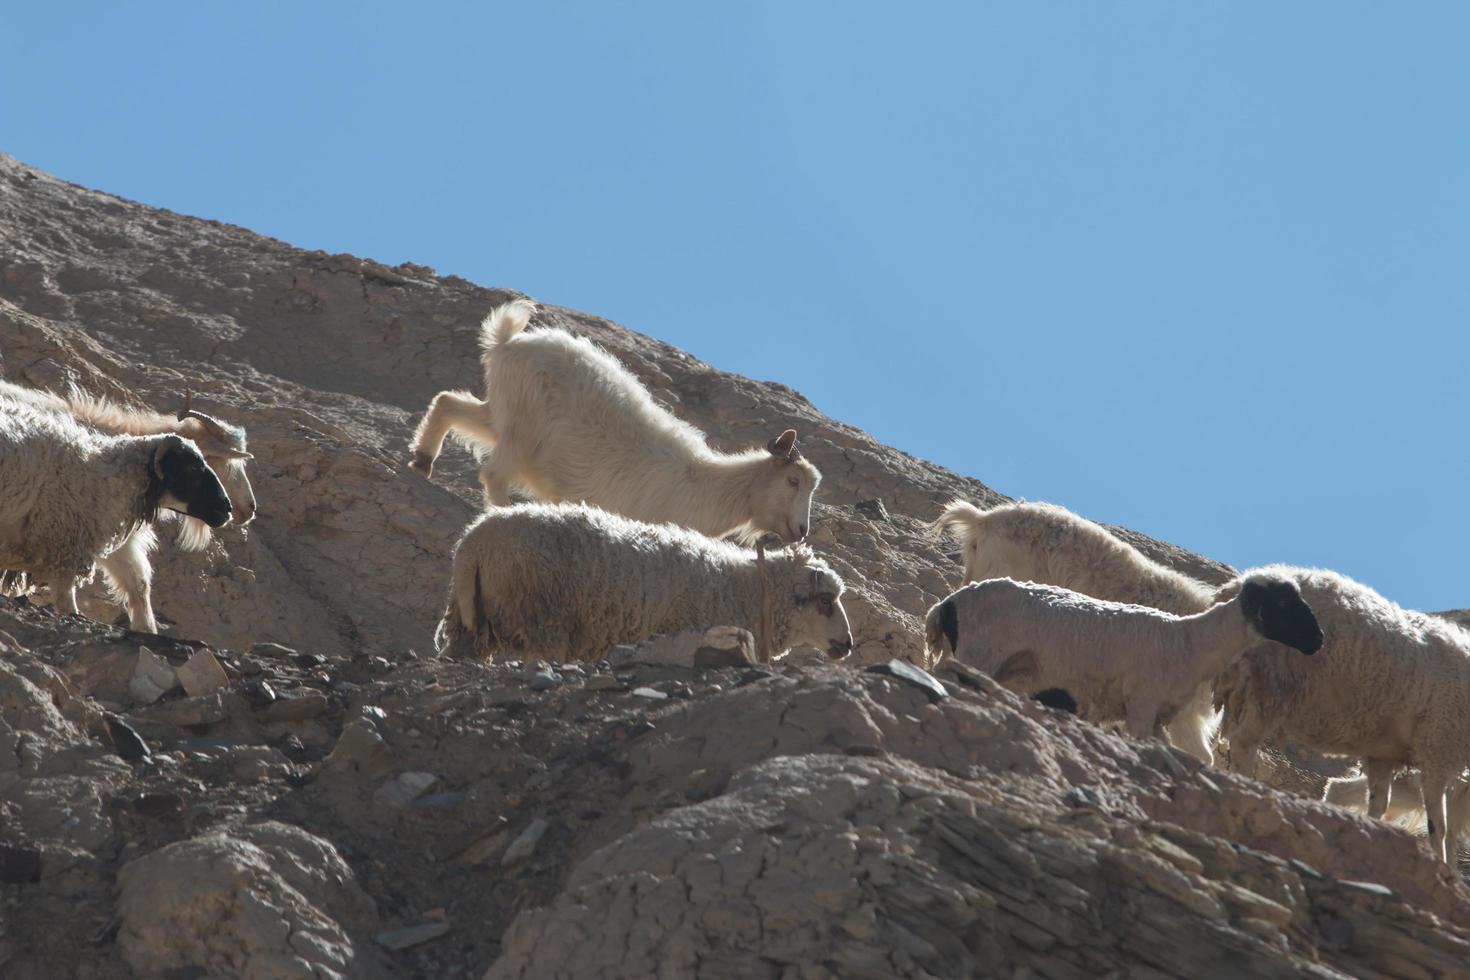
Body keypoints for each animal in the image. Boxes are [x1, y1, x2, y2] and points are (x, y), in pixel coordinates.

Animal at [411, 299, 829, 543]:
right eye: (793, 481)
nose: (801, 532)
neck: (709, 485)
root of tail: (507, 342)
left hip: (504, 411)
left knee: (450, 402)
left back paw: (422, 460)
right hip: (523, 426)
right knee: (494, 472)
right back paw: (502, 511)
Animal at [429, 502, 858, 664]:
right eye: (824, 601)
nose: (849, 644)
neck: (745, 591)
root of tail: (472, 545)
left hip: (470, 622)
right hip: (538, 619)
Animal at [917, 575, 1323, 752]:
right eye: (1282, 605)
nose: (1317, 640)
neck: (1189, 642)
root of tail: (950, 603)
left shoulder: (1160, 719)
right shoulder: (1142, 706)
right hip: (978, 653)